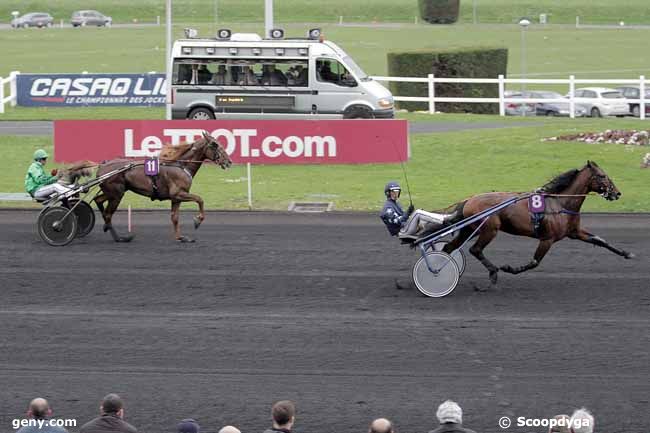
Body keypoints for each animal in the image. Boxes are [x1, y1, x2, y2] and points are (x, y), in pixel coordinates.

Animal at [90, 130, 233, 241]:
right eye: (215, 145)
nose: (229, 161)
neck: (181, 166)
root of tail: (103, 165)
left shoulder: (176, 198)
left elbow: (175, 217)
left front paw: (181, 237)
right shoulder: (179, 193)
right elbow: (200, 199)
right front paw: (197, 220)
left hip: (113, 193)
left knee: (98, 200)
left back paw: (107, 227)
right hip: (116, 194)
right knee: (108, 214)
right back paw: (119, 237)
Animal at [428, 160, 632, 288]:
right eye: (602, 175)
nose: (617, 193)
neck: (561, 203)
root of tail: (468, 200)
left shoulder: (574, 232)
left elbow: (600, 240)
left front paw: (627, 253)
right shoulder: (548, 239)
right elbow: (534, 262)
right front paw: (511, 269)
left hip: (470, 229)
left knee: (449, 247)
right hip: (490, 229)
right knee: (475, 250)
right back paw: (493, 273)